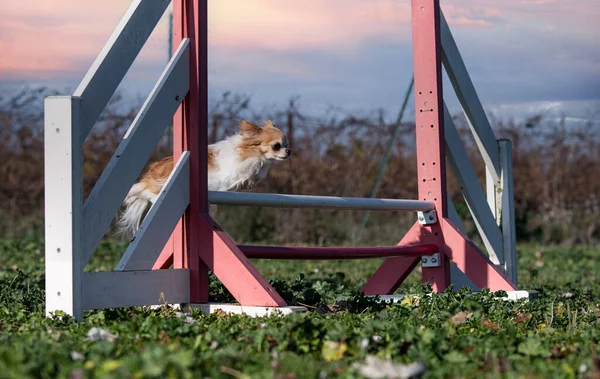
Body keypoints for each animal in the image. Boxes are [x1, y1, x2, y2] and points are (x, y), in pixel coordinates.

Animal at [115, 119, 290, 238]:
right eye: (277, 146)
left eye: (287, 144)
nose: (289, 151)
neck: (249, 152)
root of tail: (151, 173)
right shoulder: (232, 173)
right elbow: (246, 172)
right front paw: (250, 178)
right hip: (157, 188)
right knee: (145, 192)